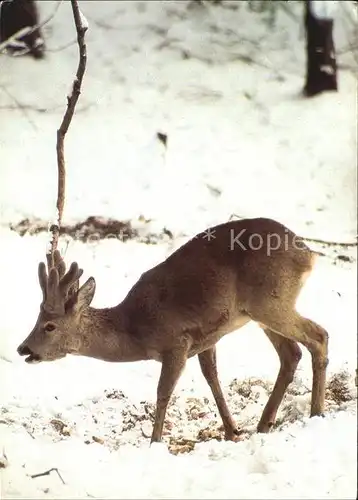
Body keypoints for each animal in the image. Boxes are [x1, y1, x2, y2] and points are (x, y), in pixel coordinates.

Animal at [18, 218, 328, 442]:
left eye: (49, 326)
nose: (23, 348)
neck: (135, 330)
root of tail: (308, 254)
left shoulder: (177, 341)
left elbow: (163, 392)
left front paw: (154, 441)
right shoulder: (206, 338)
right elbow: (212, 377)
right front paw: (232, 430)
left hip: (271, 302)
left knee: (319, 335)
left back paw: (317, 413)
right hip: (261, 311)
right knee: (291, 353)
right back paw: (265, 423)